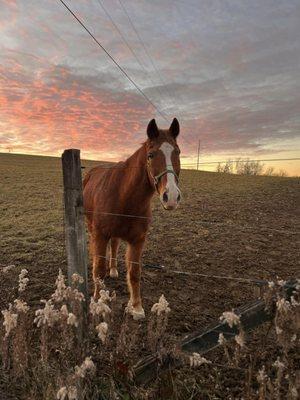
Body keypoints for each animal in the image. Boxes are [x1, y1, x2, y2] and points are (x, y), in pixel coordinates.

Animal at [83, 118, 180, 318]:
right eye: (150, 155)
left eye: (178, 152)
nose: (172, 196)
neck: (124, 195)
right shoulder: (100, 235)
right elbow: (98, 269)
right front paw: (96, 301)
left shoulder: (138, 240)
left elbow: (134, 272)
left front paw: (136, 306)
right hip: (91, 226)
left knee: (114, 245)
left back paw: (113, 269)